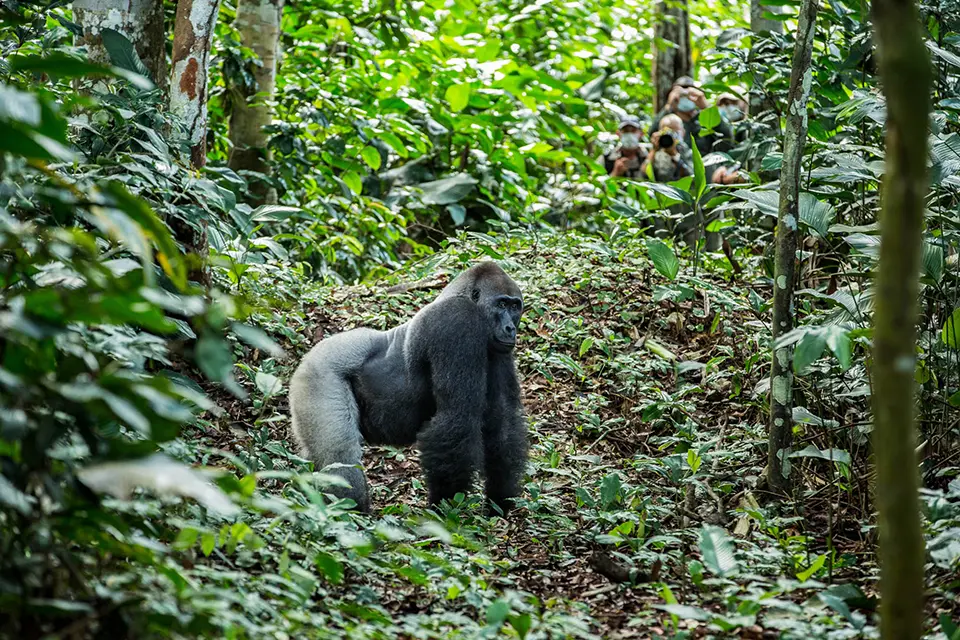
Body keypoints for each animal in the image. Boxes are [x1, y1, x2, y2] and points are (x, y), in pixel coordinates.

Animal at [288, 262, 528, 514]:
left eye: (515, 306)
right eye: (501, 304)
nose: (510, 328)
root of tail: (308, 356)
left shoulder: (498, 349)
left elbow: (502, 420)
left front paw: (500, 499)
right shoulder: (457, 322)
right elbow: (457, 418)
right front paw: (445, 507)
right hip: (318, 374)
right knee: (340, 454)